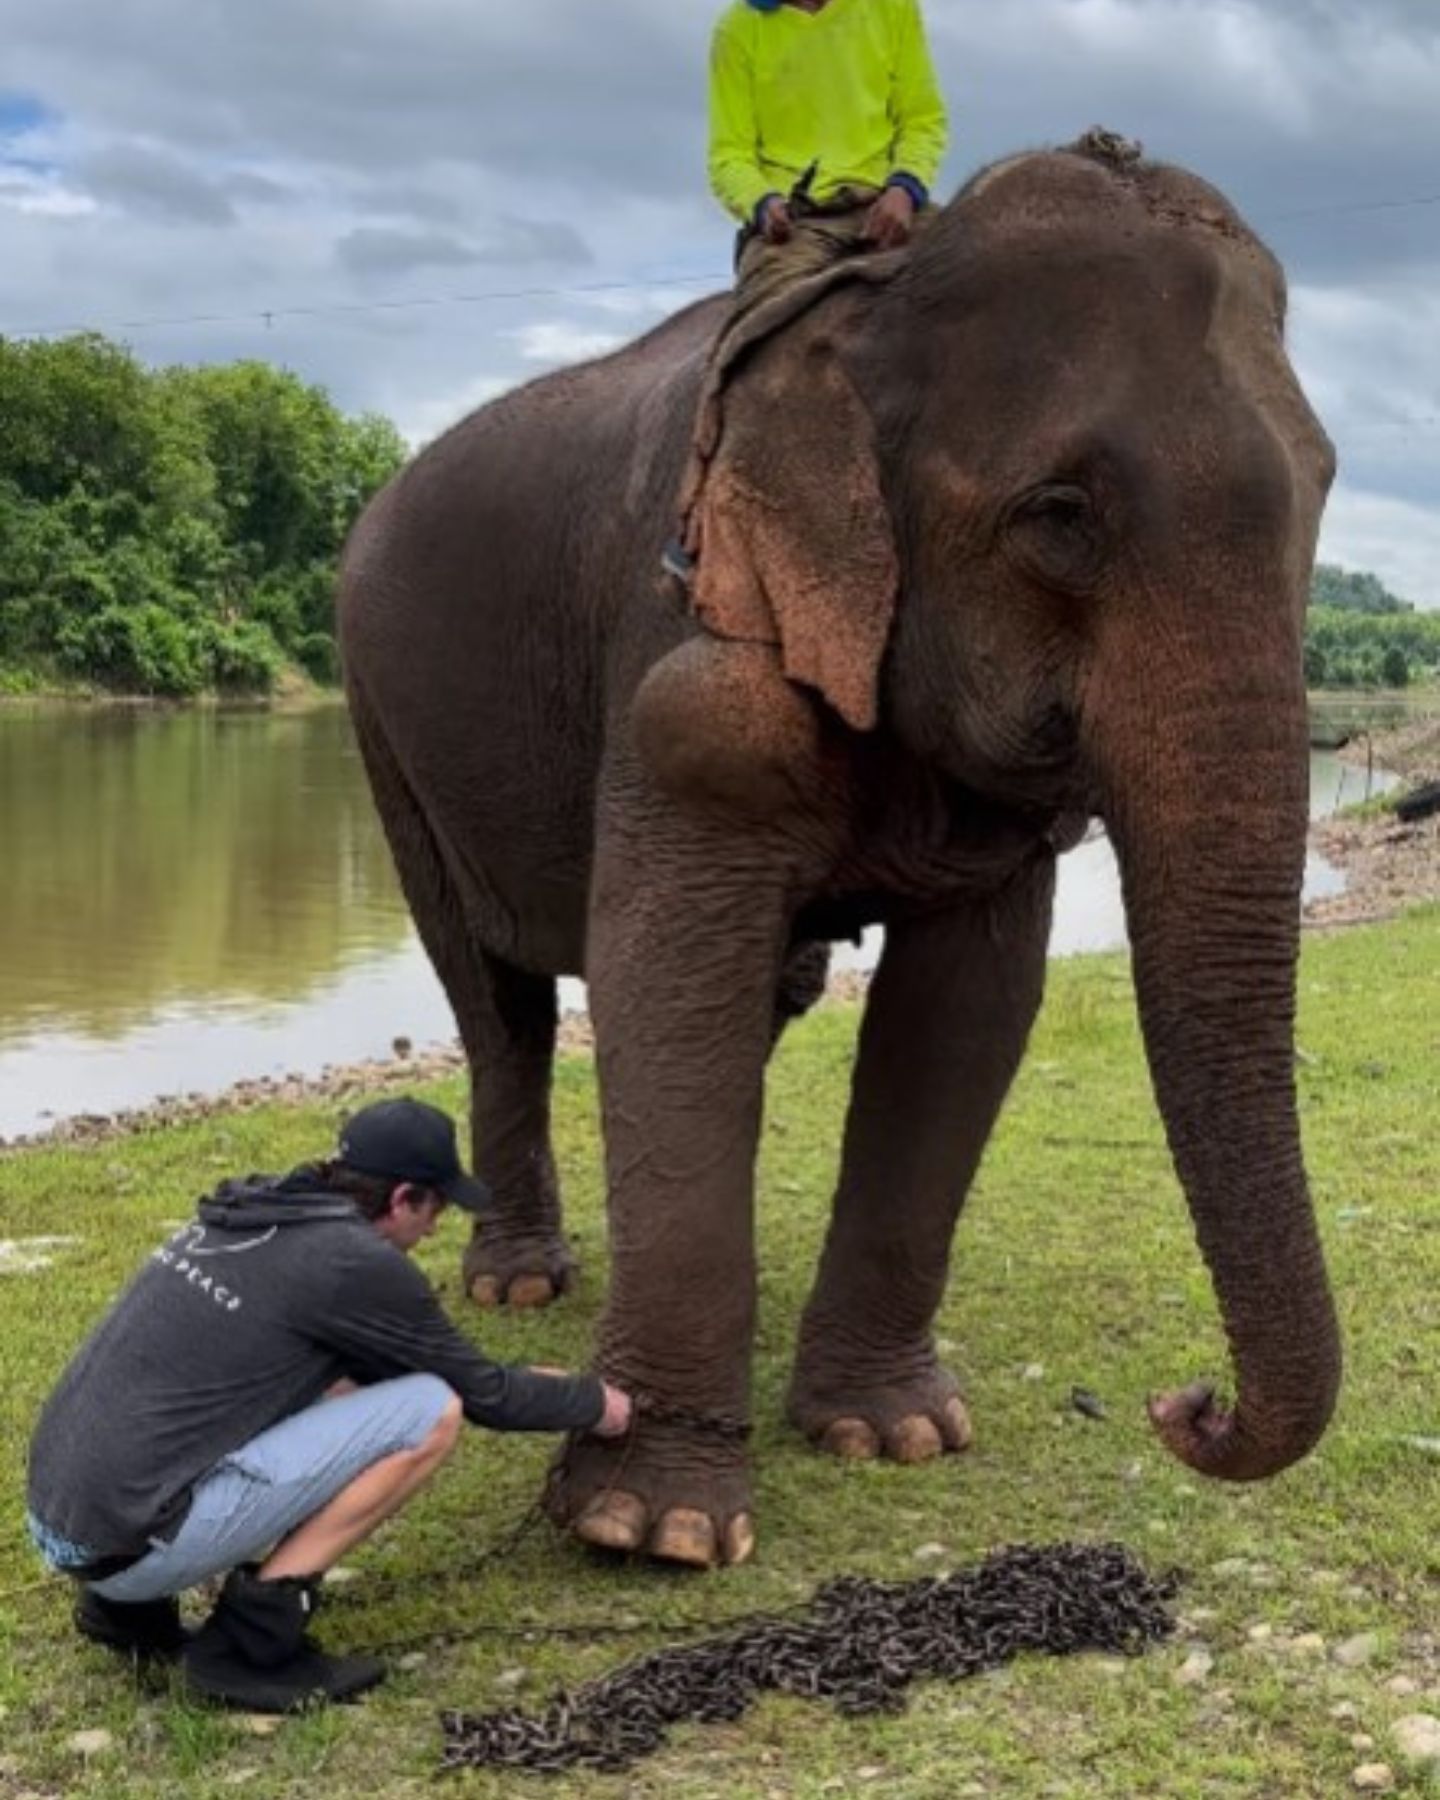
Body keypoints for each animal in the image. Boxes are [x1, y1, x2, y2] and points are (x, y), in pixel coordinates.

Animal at [338, 126, 1339, 1569]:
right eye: (1060, 514)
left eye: (1324, 494)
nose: (1183, 1403)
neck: (877, 311)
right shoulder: (686, 638)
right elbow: (661, 968)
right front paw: (655, 1529)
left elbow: (964, 1010)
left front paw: (894, 1434)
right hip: (381, 720)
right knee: (495, 997)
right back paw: (523, 1280)